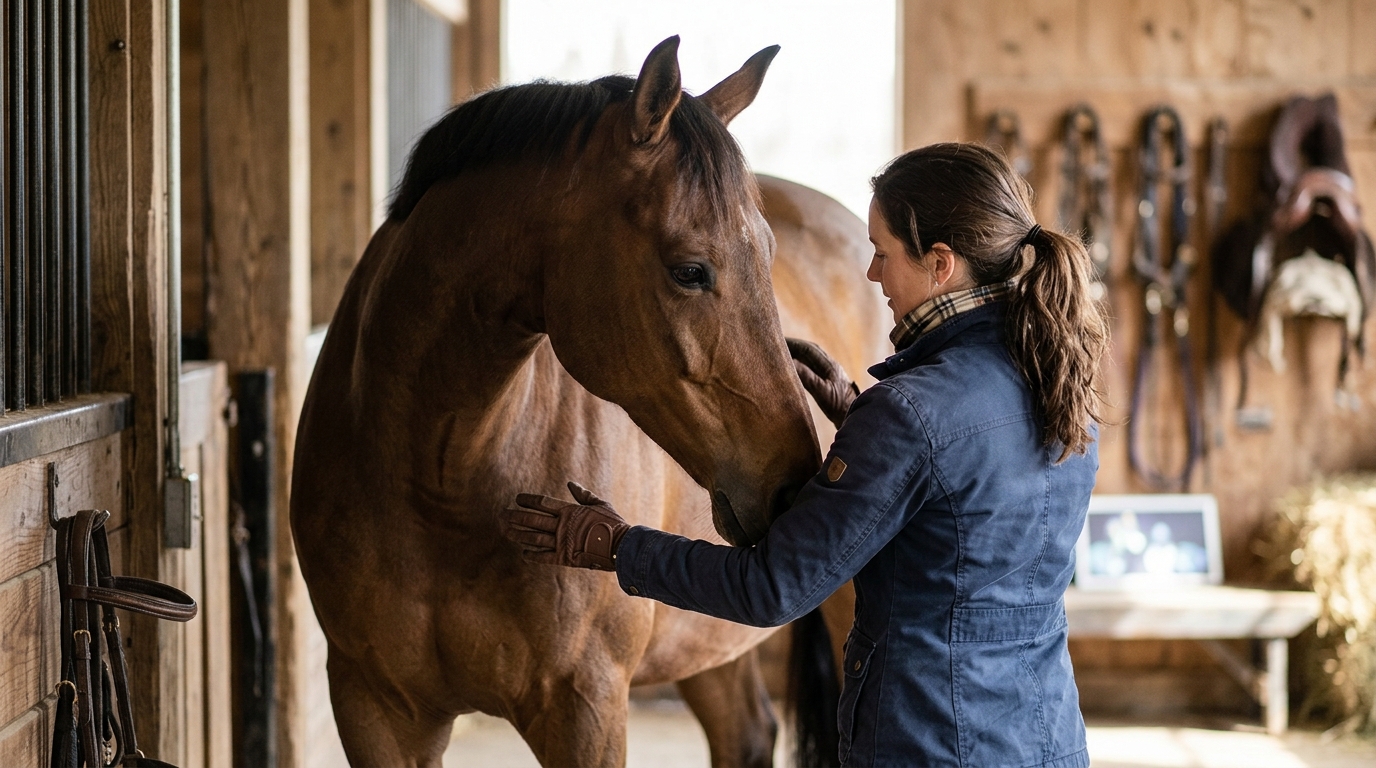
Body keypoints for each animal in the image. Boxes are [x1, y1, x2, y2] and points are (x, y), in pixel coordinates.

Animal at [292, 36, 887, 767]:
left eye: (769, 259)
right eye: (690, 270)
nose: (797, 483)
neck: (438, 478)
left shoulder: (584, 707)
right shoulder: (374, 707)